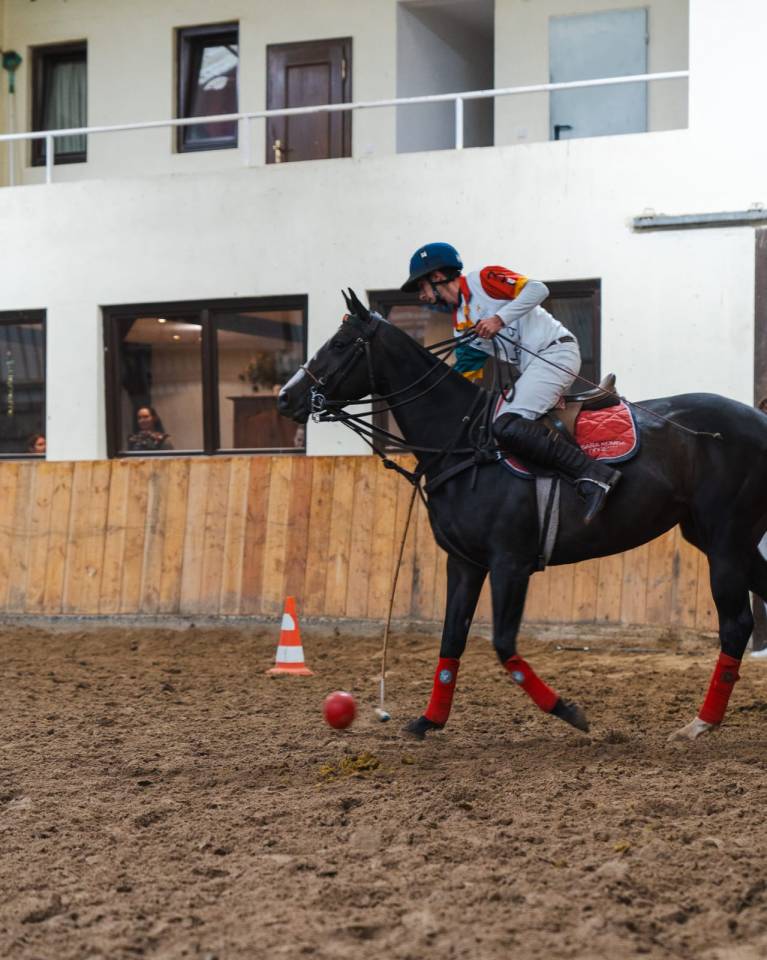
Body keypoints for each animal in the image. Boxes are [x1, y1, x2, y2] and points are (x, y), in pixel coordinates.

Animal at [277, 291, 767, 742]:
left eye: (341, 343)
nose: (285, 398)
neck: (463, 441)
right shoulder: (465, 562)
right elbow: (451, 639)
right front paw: (428, 719)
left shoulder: (509, 562)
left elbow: (502, 644)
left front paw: (569, 711)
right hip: (721, 537)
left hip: (725, 540)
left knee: (736, 625)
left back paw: (701, 722)